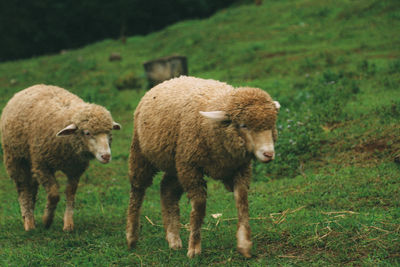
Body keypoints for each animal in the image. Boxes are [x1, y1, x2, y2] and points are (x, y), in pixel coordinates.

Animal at [0, 85, 121, 232]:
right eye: (87, 133)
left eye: (109, 132)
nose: (106, 156)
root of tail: (33, 86)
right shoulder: (41, 165)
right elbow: (53, 194)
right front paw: (47, 220)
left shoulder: (75, 169)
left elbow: (70, 193)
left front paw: (68, 224)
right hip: (15, 159)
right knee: (23, 188)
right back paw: (28, 222)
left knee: (32, 188)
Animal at [126, 76, 280, 260]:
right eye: (243, 125)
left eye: (272, 124)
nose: (268, 154)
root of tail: (169, 80)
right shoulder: (191, 167)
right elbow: (199, 206)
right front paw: (194, 248)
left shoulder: (240, 168)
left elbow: (242, 201)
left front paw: (244, 244)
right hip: (142, 154)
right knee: (137, 191)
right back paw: (131, 237)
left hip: (176, 163)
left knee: (167, 190)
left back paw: (173, 238)